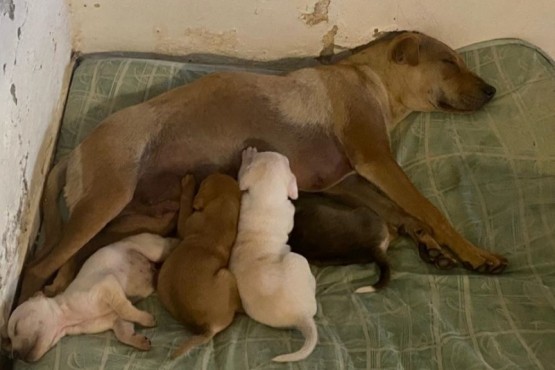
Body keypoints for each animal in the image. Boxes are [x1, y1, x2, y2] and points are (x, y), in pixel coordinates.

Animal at [4, 234, 177, 362]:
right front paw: (139, 340)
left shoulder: (106, 285)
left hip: (151, 248)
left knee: (167, 244)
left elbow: (125, 308)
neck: (66, 319)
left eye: (16, 328)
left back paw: (176, 243)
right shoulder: (117, 321)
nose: (14, 355)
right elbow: (123, 333)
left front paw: (147, 320)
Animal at [22, 30, 508, 304]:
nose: (492, 90)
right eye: (449, 61)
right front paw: (475, 253)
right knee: (37, 268)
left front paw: (431, 246)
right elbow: (428, 209)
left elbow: (401, 214)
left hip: (143, 216)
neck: (371, 81)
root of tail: (73, 153)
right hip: (106, 199)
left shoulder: (346, 179)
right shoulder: (375, 160)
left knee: (72, 258)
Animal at [157, 173, 242, 358]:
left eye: (203, 183)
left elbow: (184, 209)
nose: (216, 171)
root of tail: (209, 326)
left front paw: (189, 183)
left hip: (227, 275)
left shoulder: (185, 225)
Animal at [229, 147, 318, 362]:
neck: (266, 198)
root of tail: (301, 316)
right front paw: (247, 155)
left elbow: (241, 179)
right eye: (287, 161)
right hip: (298, 259)